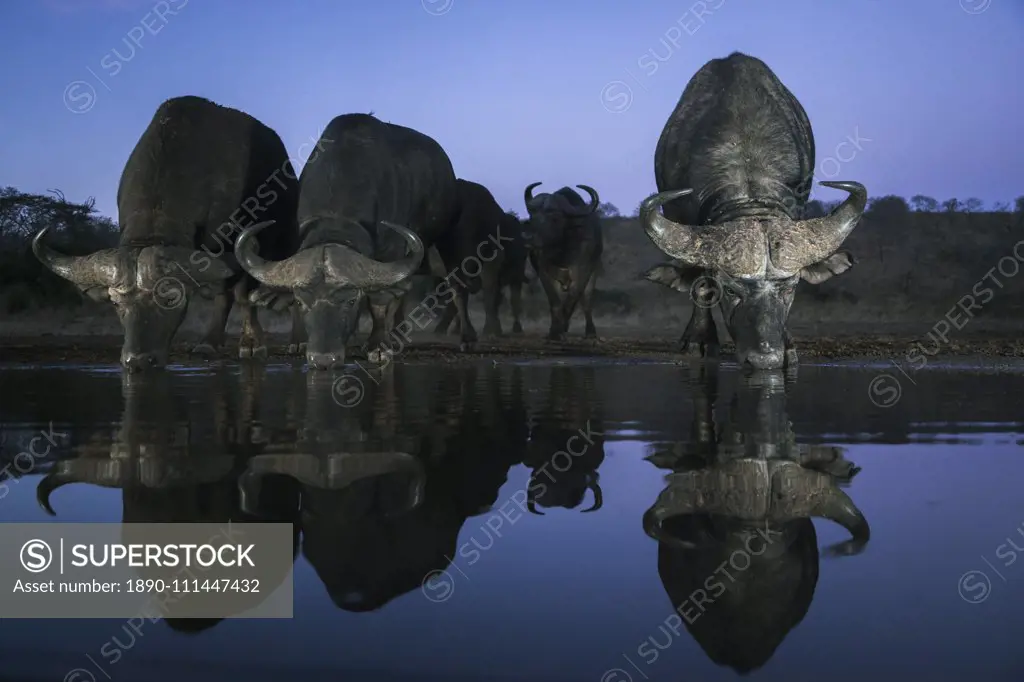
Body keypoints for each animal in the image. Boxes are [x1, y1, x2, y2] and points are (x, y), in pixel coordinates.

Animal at [32, 94, 301, 368]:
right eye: (116, 303)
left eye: (171, 297)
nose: (138, 360)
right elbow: (223, 293)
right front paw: (210, 343)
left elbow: (243, 294)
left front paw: (252, 344)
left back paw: (297, 342)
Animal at [235, 112, 483, 366]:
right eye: (301, 301)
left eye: (351, 300)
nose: (323, 359)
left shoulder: (391, 254)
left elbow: (379, 304)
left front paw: (379, 346)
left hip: (448, 243)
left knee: (457, 288)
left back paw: (466, 339)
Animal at [520, 182, 598, 337]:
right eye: (532, 215)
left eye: (554, 217)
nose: (528, 237)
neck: (563, 252)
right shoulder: (544, 272)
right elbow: (555, 302)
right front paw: (555, 331)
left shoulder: (582, 272)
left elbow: (572, 300)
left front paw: (562, 328)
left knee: (586, 301)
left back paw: (590, 331)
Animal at [643, 53, 868, 368]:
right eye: (730, 289)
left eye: (790, 287)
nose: (765, 359)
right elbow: (699, 283)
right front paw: (700, 339)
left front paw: (788, 345)